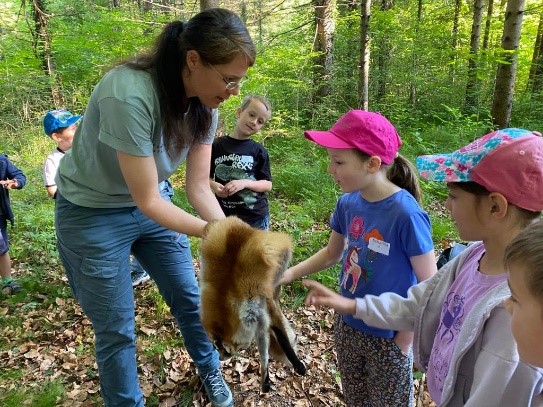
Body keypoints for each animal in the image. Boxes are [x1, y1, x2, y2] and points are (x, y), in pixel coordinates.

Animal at [199, 217, 306, 392]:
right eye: (215, 348)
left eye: (225, 350)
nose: (220, 358)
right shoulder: (256, 321)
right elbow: (264, 350)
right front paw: (265, 377)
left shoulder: (259, 307)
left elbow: (280, 338)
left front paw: (297, 363)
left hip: (272, 254)